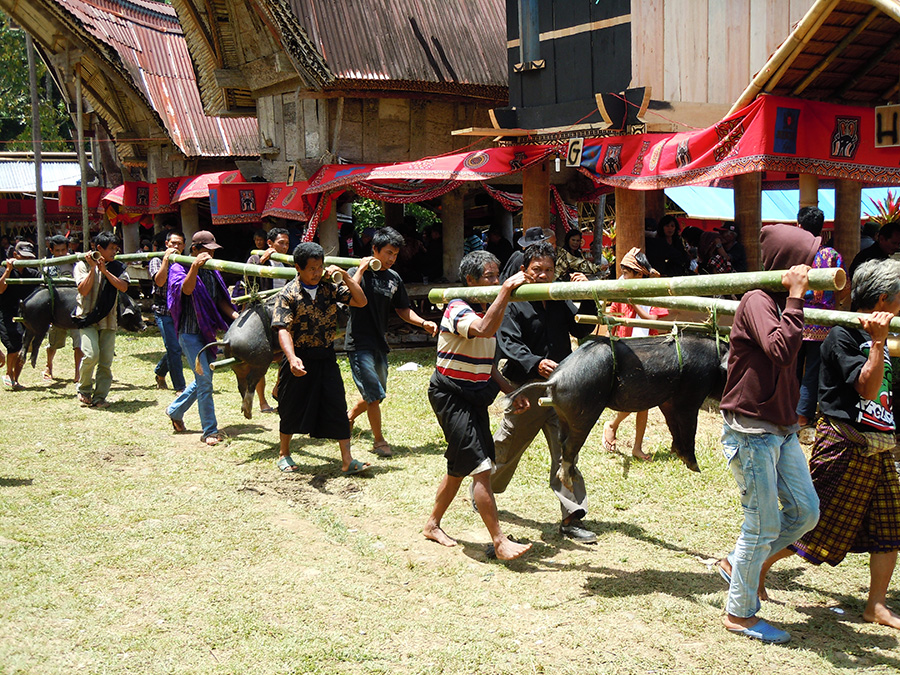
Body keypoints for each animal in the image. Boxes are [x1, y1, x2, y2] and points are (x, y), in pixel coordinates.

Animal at [19, 286, 148, 368]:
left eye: (140, 312)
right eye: (135, 314)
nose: (145, 326)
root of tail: (24, 303)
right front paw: (114, 354)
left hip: (29, 325)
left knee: (25, 339)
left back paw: (22, 358)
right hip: (41, 325)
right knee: (35, 342)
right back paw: (32, 363)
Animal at [510, 332, 728, 486]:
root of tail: (555, 380)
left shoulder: (668, 402)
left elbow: (673, 426)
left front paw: (676, 453)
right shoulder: (691, 396)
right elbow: (689, 429)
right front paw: (695, 468)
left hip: (563, 413)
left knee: (560, 440)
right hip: (585, 412)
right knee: (570, 444)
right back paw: (568, 480)